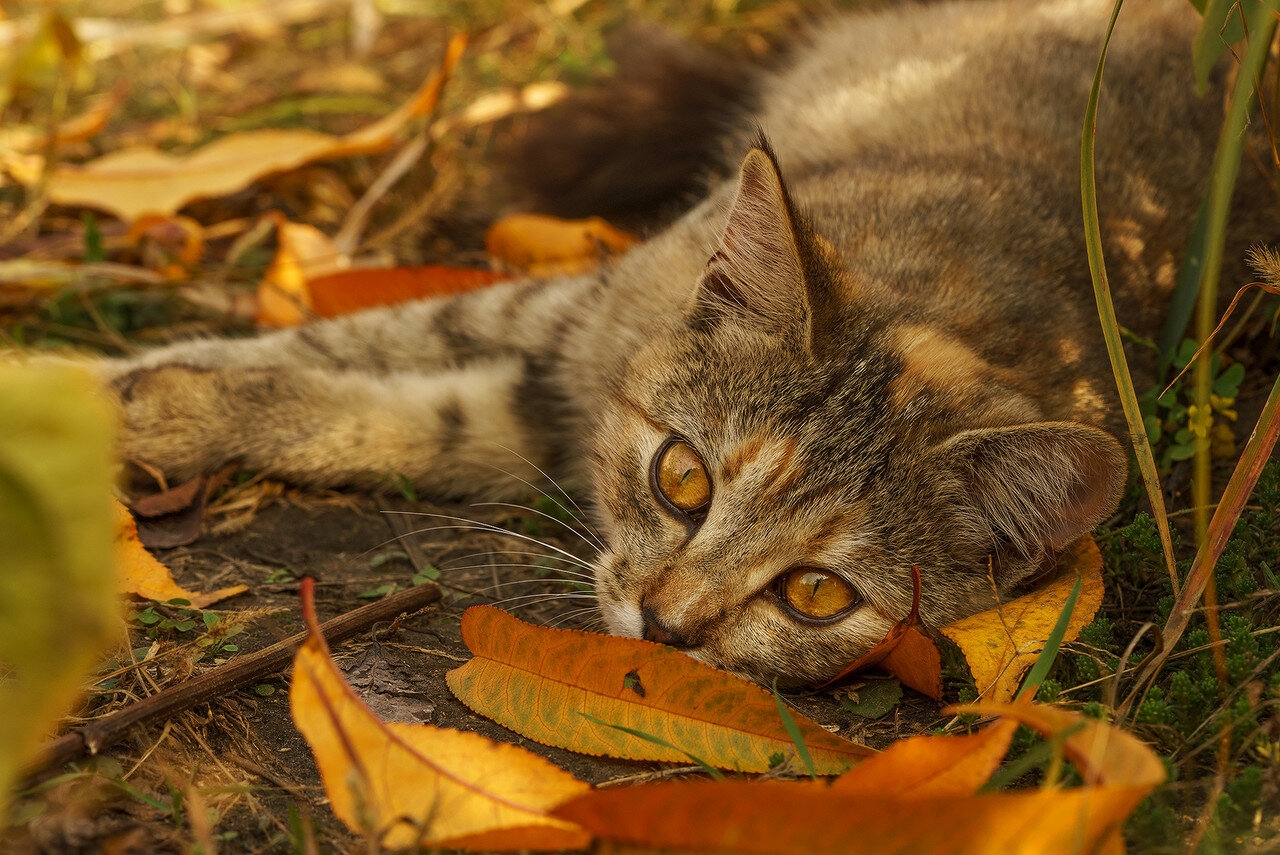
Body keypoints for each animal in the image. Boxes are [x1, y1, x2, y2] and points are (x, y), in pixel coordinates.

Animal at [104, 0, 1274, 686]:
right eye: (682, 480)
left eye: (817, 594)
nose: (666, 625)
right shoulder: (555, 321)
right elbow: (347, 341)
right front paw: (102, 385)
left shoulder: (520, 419)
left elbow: (369, 416)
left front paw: (151, 410)